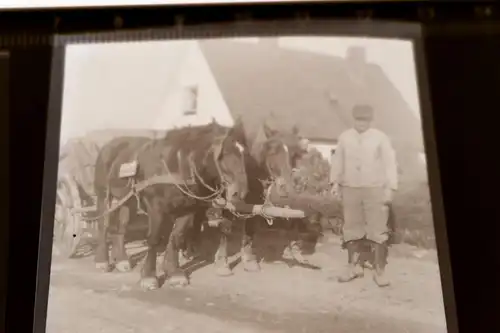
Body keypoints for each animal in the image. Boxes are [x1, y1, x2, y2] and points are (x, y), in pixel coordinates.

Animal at [92, 121, 248, 288]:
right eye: (224, 153)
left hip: (129, 201)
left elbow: (176, 237)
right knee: (103, 225)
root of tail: (109, 145)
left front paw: (174, 272)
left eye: (243, 153)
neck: (177, 165)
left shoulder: (187, 209)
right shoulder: (155, 208)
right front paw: (149, 276)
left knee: (120, 227)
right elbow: (154, 238)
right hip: (103, 196)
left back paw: (121, 260)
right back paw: (102, 261)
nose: (240, 192)